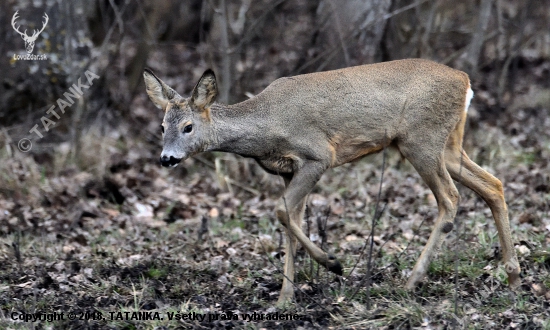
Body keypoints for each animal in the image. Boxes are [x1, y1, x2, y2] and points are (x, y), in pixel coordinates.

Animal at [143, 58, 520, 304]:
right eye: (162, 127)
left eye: (188, 127)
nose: (167, 158)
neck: (266, 127)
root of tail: (465, 80)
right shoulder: (287, 170)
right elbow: (290, 222)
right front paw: (285, 298)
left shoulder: (318, 155)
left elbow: (281, 213)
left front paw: (333, 264)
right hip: (449, 144)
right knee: (493, 185)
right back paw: (513, 274)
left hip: (421, 140)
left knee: (451, 198)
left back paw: (411, 282)